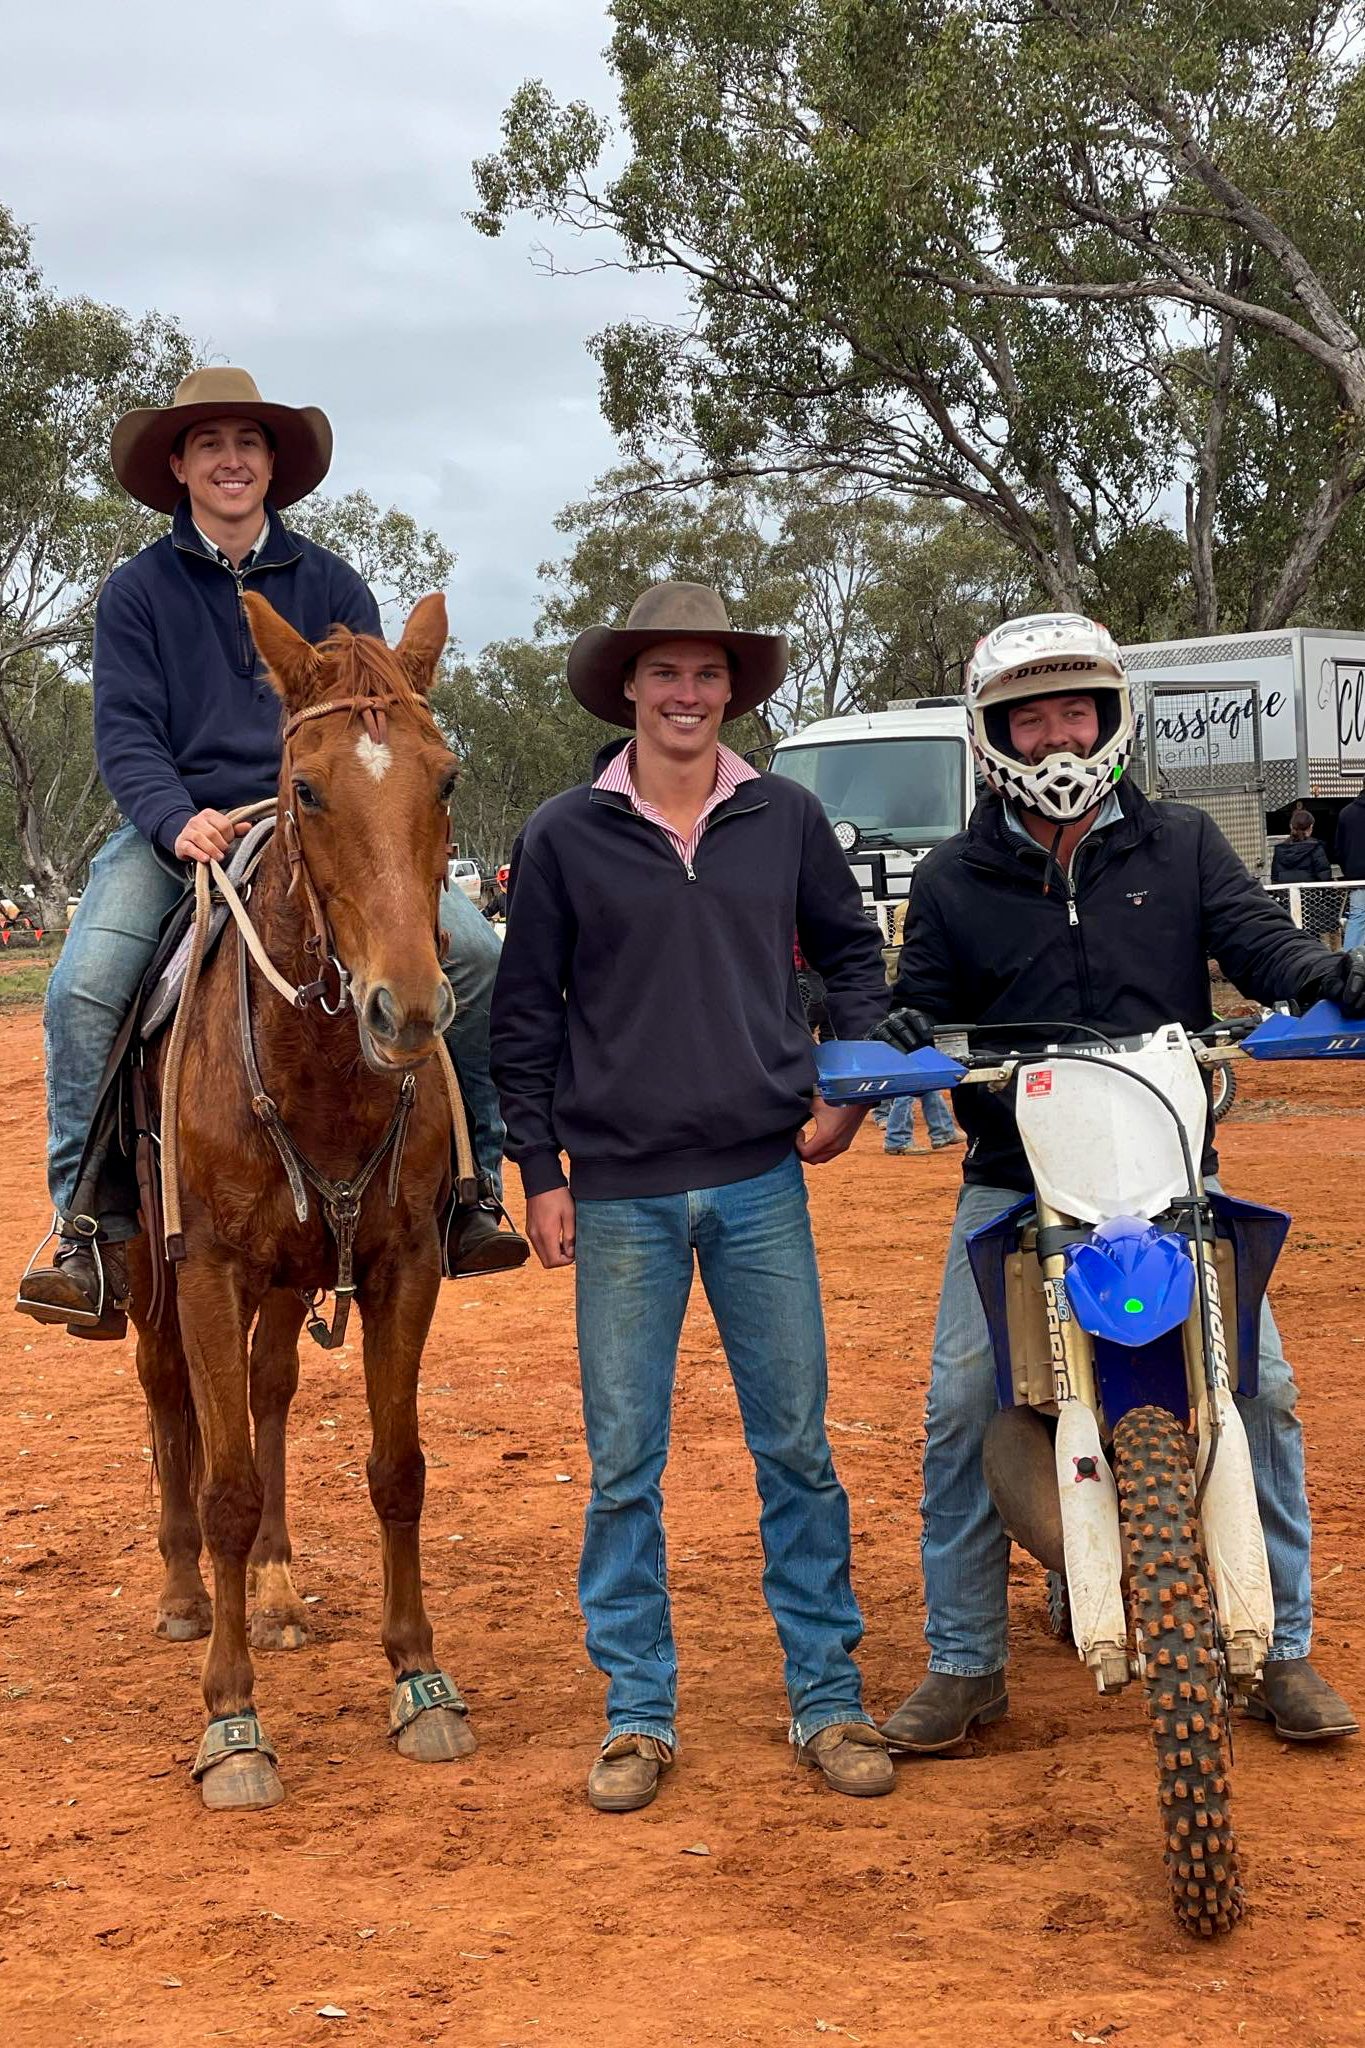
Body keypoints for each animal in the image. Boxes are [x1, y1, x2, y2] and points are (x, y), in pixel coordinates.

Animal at [128, 590, 475, 1811]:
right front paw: (231, 1722)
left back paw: (276, 1590)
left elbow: (397, 1467)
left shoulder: (403, 1264)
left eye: (445, 779)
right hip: (146, 1277)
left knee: (270, 1389)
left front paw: (419, 1677)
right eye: (310, 788)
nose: (406, 1008)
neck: (317, 1070)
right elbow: (225, 1485)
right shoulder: (204, 1270)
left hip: (288, 1278)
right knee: (172, 1403)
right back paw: (188, 1594)